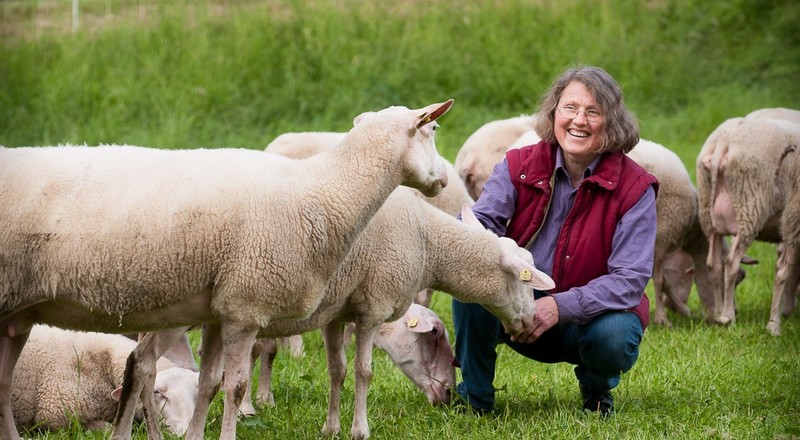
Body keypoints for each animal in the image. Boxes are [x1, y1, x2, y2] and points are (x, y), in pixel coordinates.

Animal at [692, 107, 800, 334]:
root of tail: (723, 143)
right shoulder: (794, 222)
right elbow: (786, 270)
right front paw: (779, 318)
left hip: (710, 214)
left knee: (714, 263)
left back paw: (717, 314)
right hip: (750, 207)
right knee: (732, 262)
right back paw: (730, 317)